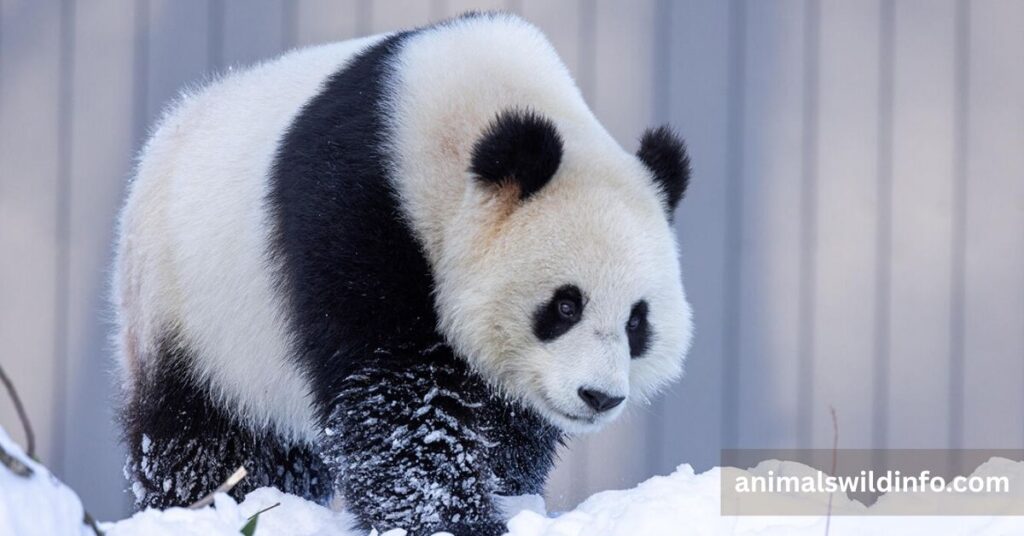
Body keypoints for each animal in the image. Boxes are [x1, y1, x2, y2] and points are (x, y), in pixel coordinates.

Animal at [113, 12, 693, 536]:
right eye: (566, 305)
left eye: (637, 321)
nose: (600, 397)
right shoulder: (357, 213)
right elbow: (396, 396)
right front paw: (455, 520)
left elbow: (506, 422)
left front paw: (509, 492)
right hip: (190, 309)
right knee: (197, 433)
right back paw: (206, 503)